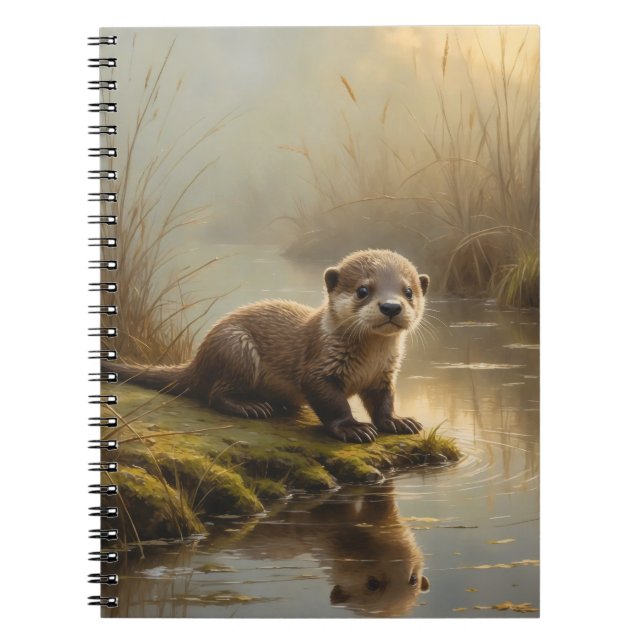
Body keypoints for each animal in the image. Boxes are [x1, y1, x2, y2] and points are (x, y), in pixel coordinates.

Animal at [111, 249, 430, 443]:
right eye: (363, 290)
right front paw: (353, 427)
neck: (370, 360)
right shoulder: (319, 369)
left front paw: (398, 421)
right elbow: (333, 402)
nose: (391, 307)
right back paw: (251, 406)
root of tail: (199, 359)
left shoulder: (384, 375)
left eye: (408, 291)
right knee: (215, 394)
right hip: (236, 348)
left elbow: (384, 401)